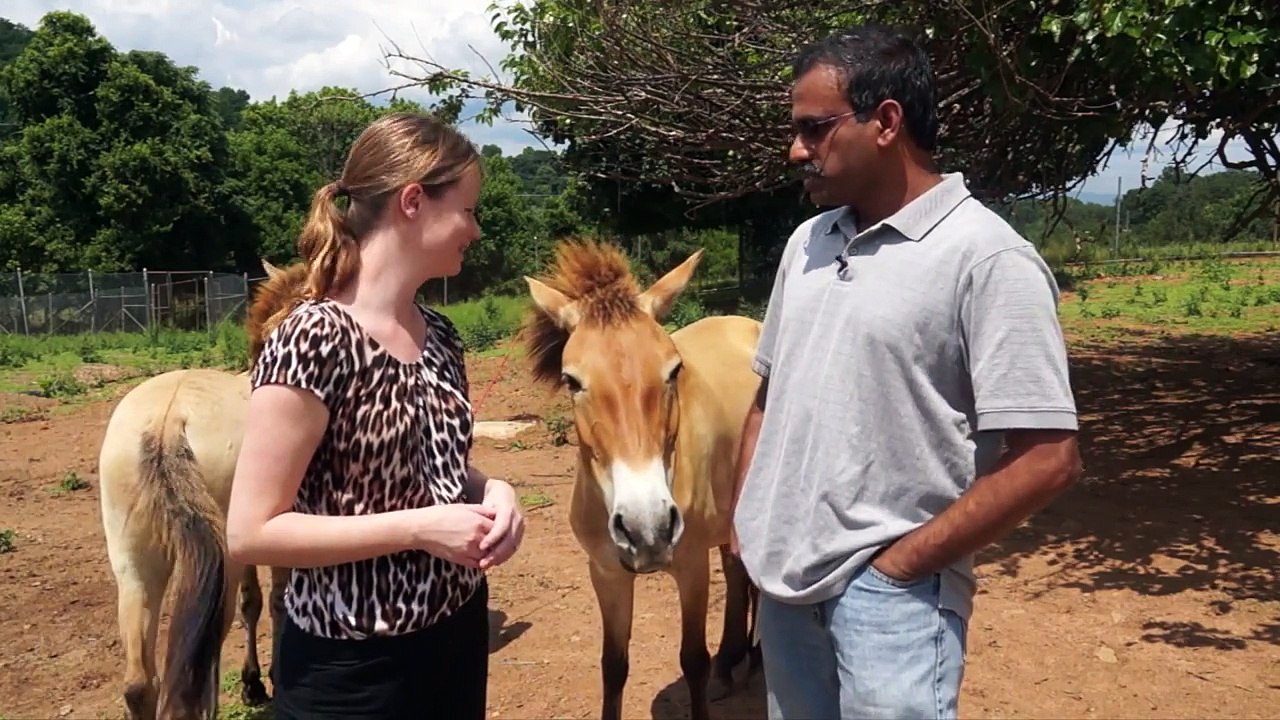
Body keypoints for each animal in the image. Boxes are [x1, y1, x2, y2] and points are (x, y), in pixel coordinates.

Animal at [96, 259, 308, 719]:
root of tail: (167, 422)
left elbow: (254, 602)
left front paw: (253, 683)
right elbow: (275, 601)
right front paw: (264, 681)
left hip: (134, 566)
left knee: (139, 683)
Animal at [521, 239, 764, 720]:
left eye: (673, 370)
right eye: (571, 380)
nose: (646, 529)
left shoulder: (690, 567)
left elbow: (693, 660)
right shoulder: (606, 573)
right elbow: (613, 666)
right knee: (736, 571)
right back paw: (731, 664)